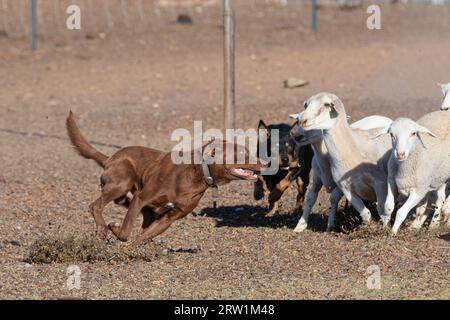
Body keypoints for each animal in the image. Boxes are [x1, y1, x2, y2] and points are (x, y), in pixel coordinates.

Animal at [66, 111, 264, 244]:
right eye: (242, 154)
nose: (265, 162)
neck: (197, 174)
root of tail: (109, 158)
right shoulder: (141, 198)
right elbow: (126, 230)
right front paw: (116, 231)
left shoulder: (168, 218)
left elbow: (142, 237)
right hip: (123, 181)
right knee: (95, 205)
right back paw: (101, 229)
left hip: (137, 202)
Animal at [294, 92, 392, 226]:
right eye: (306, 104)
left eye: (327, 104)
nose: (302, 120)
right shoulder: (345, 188)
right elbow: (365, 213)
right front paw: (367, 226)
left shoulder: (380, 182)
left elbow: (383, 210)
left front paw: (384, 228)